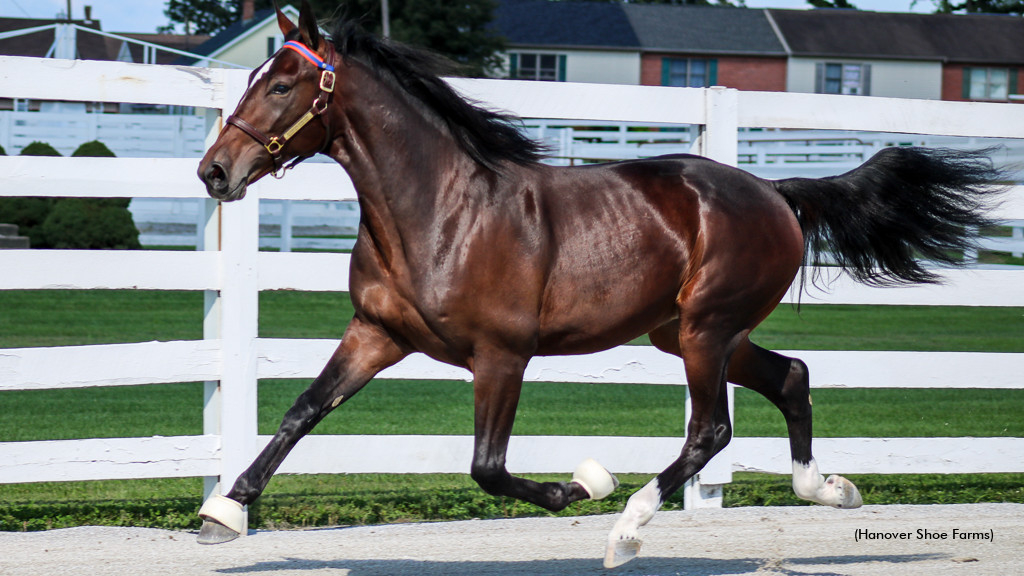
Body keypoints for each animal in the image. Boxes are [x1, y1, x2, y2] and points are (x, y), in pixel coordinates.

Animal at [192, 0, 999, 565]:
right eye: (255, 78)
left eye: (284, 83)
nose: (214, 172)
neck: (440, 211)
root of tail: (775, 192)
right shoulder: (377, 334)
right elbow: (302, 410)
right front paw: (222, 515)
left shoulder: (502, 356)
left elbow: (488, 468)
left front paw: (584, 484)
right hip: (690, 331)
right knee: (792, 377)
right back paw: (828, 490)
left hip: (705, 331)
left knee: (711, 429)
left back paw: (627, 529)